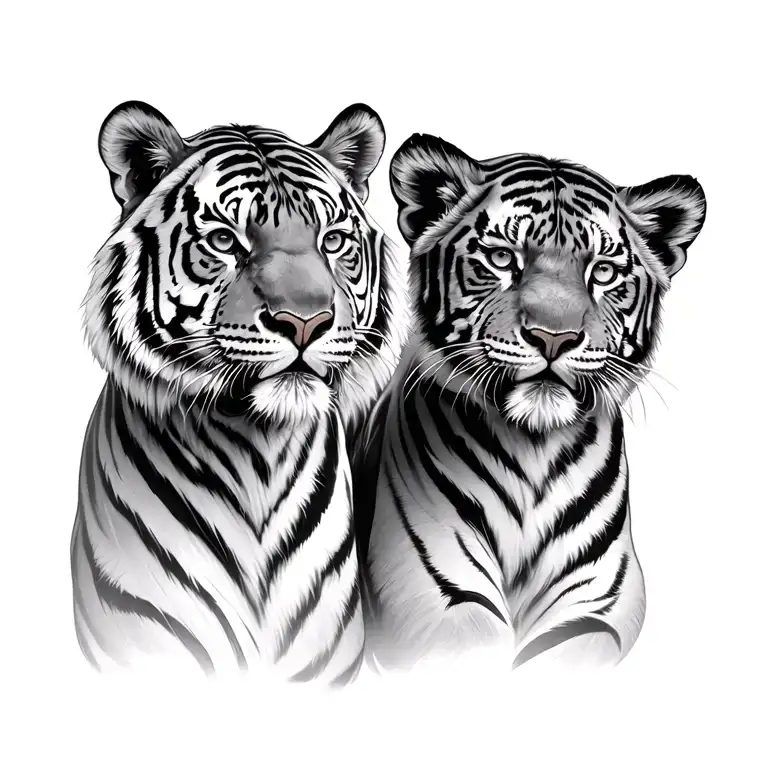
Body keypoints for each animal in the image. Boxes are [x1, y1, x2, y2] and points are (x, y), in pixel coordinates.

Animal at [353, 132, 705, 672]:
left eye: (603, 271)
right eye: (502, 259)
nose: (553, 337)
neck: (533, 452)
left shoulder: (598, 603)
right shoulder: (436, 588)